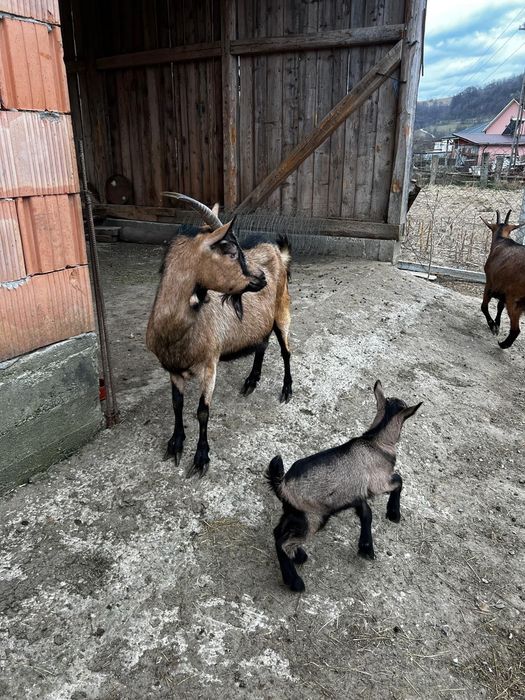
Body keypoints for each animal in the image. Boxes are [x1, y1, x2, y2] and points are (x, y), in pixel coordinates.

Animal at [146, 193, 292, 478]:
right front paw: (175, 444)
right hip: (261, 322)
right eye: (233, 253)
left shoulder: (209, 364)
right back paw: (251, 381)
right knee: (262, 344)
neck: (176, 333)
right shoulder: (172, 368)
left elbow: (203, 411)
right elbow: (177, 404)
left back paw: (287, 390)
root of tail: (277, 251)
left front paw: (201, 458)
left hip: (282, 311)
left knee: (286, 351)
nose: (261, 278)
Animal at [266, 381, 421, 592]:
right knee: (284, 543)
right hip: (313, 517)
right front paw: (393, 514)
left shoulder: (357, 493)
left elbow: (366, 514)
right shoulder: (379, 482)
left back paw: (299, 557)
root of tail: (282, 485)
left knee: (277, 534)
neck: (375, 442)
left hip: (293, 514)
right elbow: (399, 480)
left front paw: (366, 547)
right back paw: (295, 581)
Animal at [480, 210, 524, 349]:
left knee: (516, 330)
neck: (502, 240)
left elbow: (484, 306)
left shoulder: (490, 283)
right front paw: (497, 324)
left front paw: (493, 326)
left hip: (514, 301)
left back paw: (503, 344)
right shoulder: (503, 287)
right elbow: (500, 306)